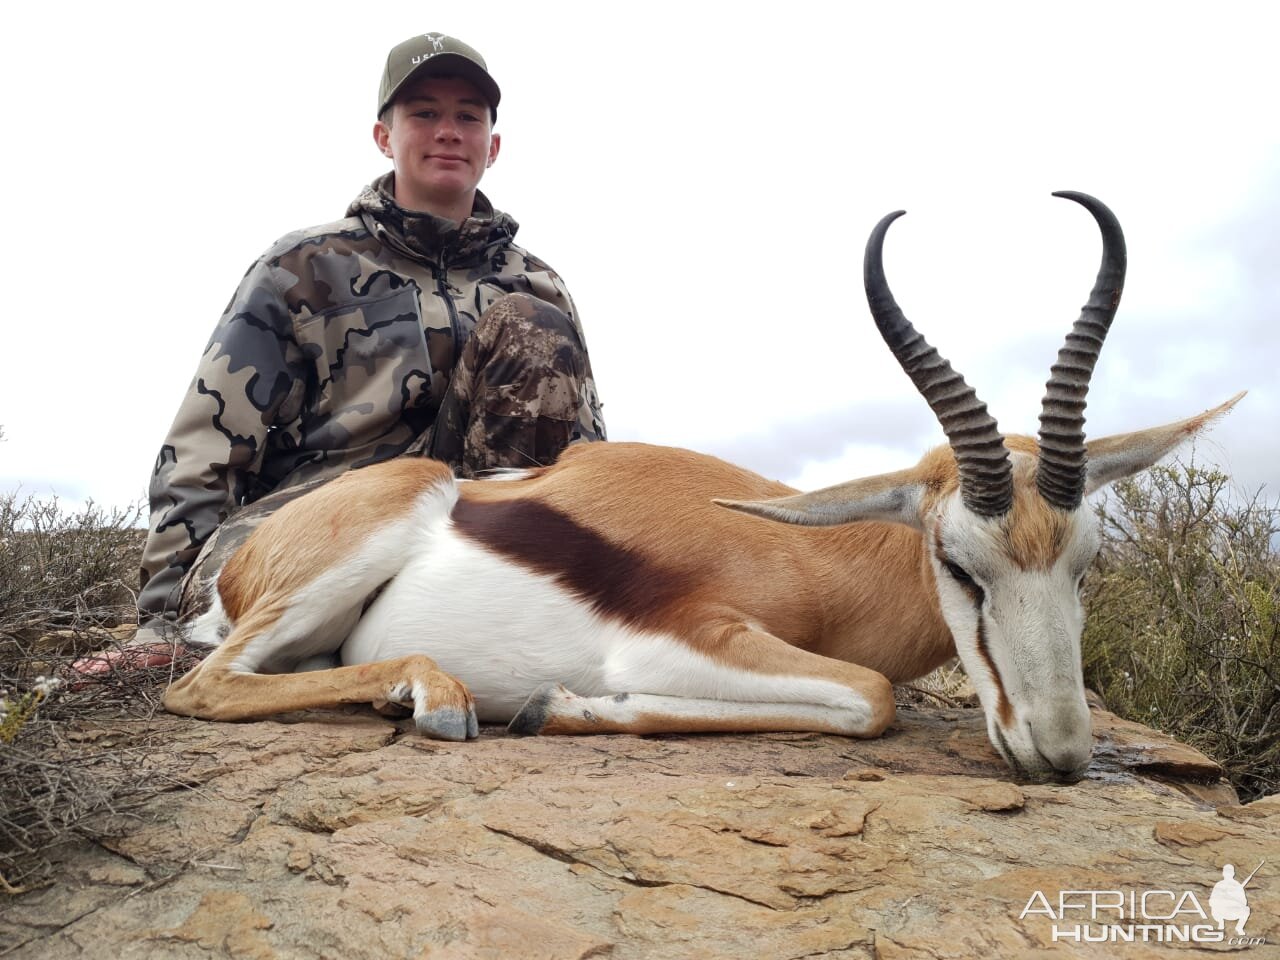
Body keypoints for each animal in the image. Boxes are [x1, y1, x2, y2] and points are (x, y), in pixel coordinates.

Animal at [160, 193, 1239, 783]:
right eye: (958, 564)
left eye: (1085, 565)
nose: (1060, 754)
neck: (813, 552)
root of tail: (235, 575)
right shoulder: (680, 641)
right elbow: (870, 697)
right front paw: (555, 707)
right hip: (369, 533)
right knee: (201, 687)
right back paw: (437, 697)